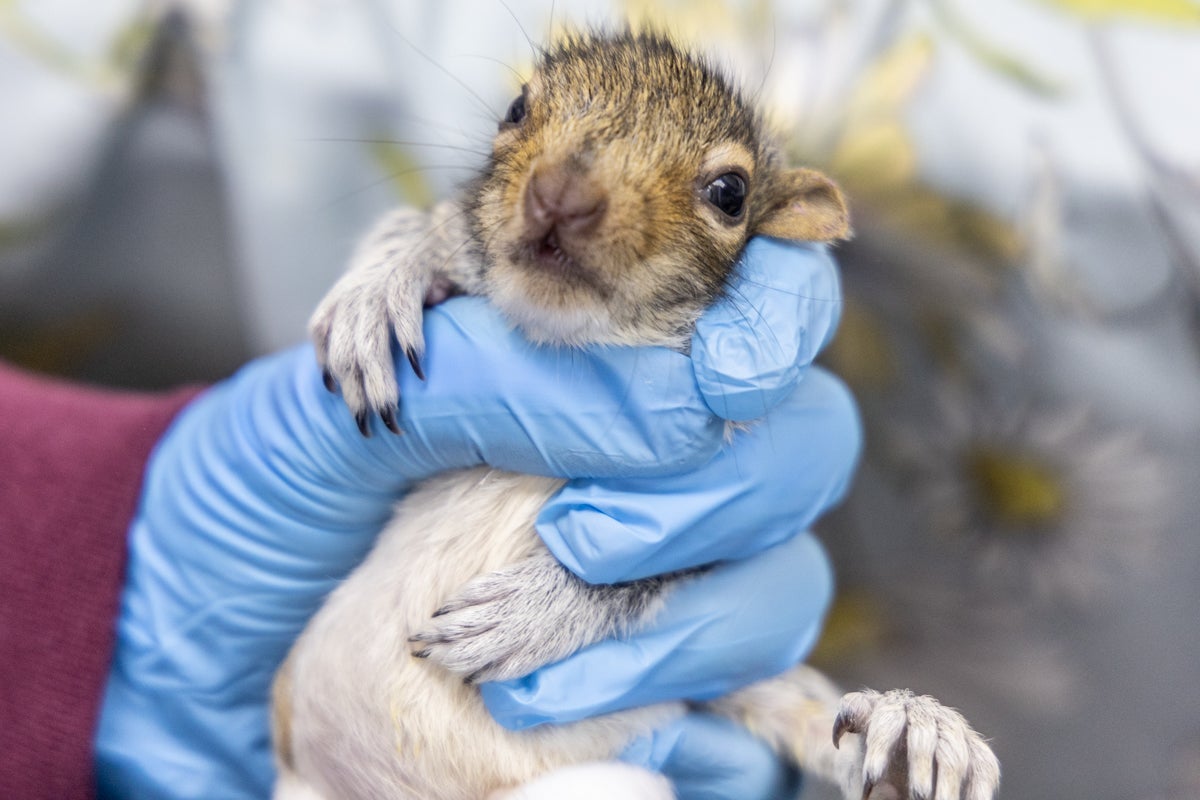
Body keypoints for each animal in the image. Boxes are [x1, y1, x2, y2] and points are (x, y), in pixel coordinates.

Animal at [273, 29, 1000, 800]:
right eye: (516, 108)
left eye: (730, 193)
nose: (561, 193)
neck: (569, 343)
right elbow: (420, 234)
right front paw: (382, 286)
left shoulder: (727, 517)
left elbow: (642, 570)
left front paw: (534, 612)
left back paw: (908, 737)